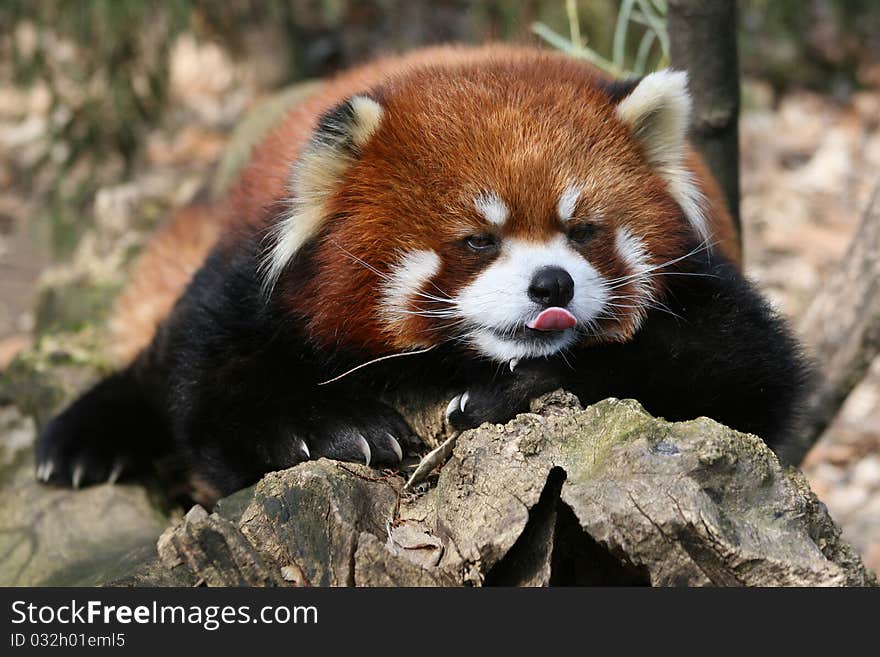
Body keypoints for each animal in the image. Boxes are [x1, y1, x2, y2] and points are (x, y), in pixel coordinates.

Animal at [36, 43, 812, 500]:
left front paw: (517, 390)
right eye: (477, 240)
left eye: (583, 231)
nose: (552, 284)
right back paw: (85, 436)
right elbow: (211, 389)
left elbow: (745, 369)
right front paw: (333, 428)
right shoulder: (259, 278)